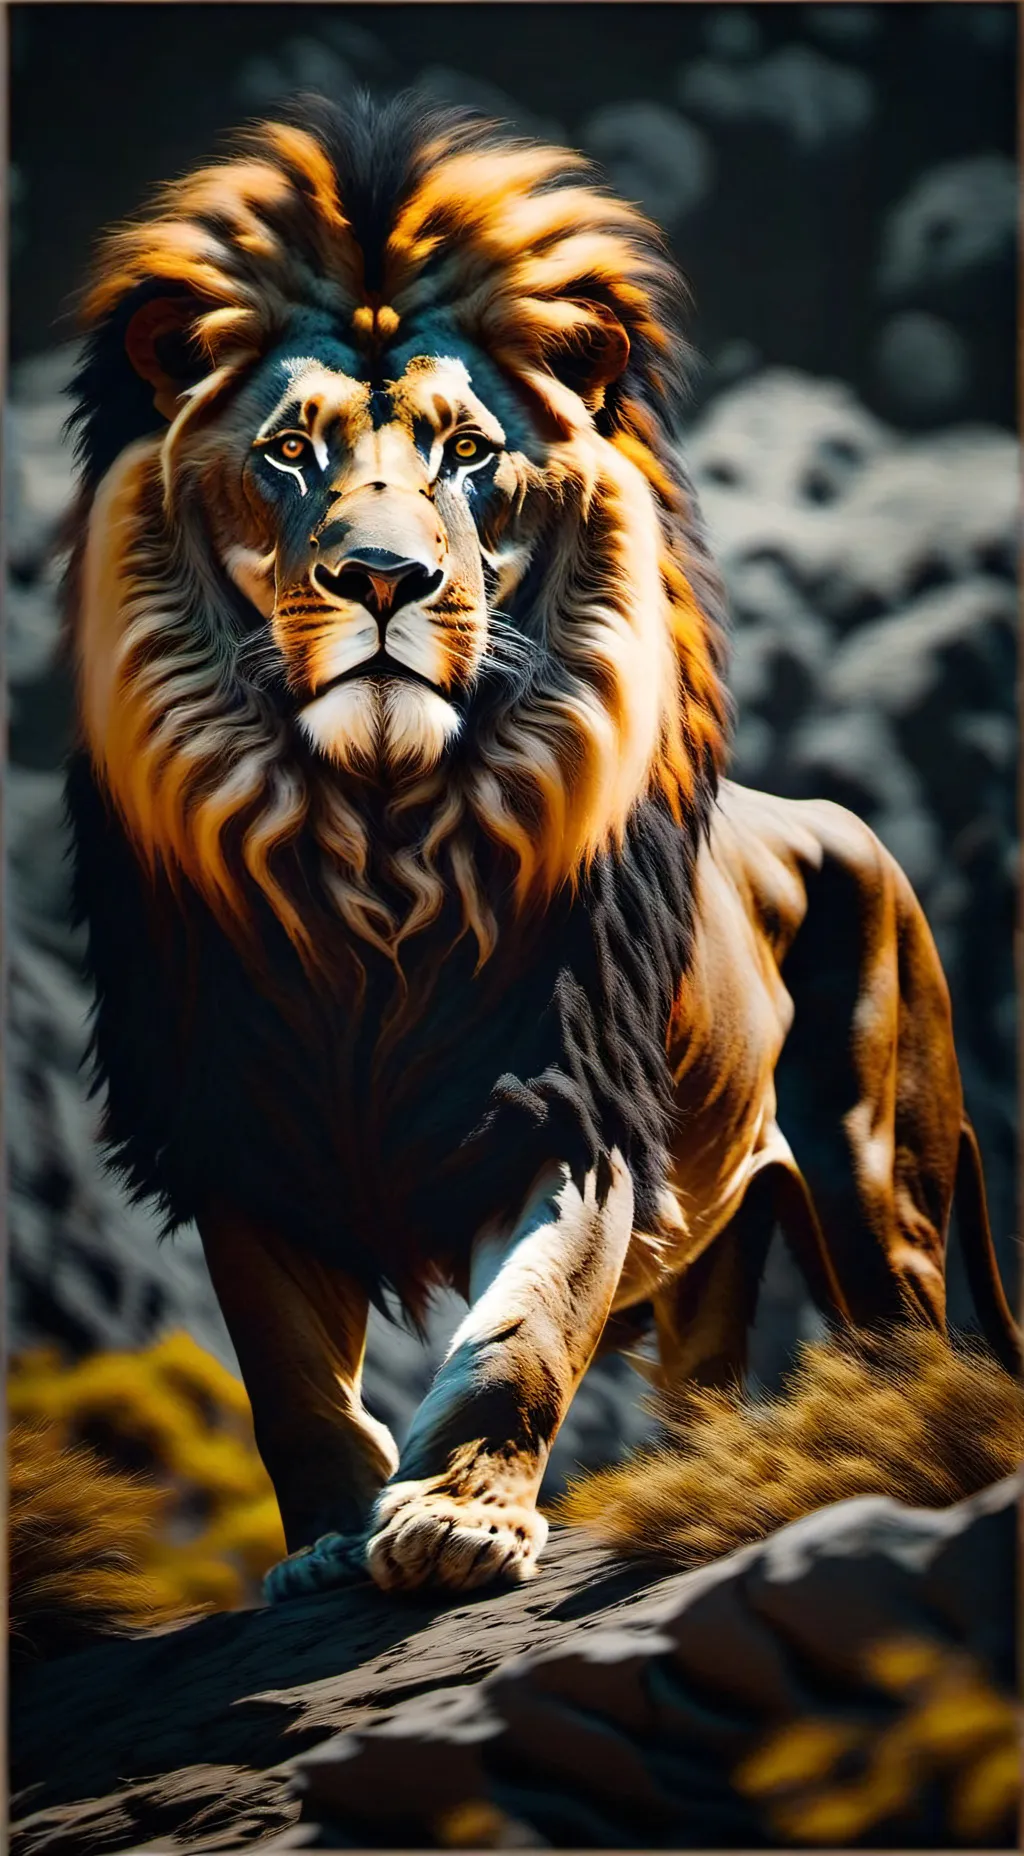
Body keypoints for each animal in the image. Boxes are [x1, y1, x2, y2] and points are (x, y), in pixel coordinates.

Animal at [63, 93, 1019, 1601]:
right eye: (289, 452)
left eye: (468, 452)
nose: (383, 579)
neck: (373, 836)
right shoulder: (243, 1129)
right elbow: (289, 1379)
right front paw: (328, 1543)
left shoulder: (571, 1104)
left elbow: (523, 1325)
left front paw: (458, 1519)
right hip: (717, 1253)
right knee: (704, 1382)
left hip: (880, 1181)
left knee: (909, 1337)